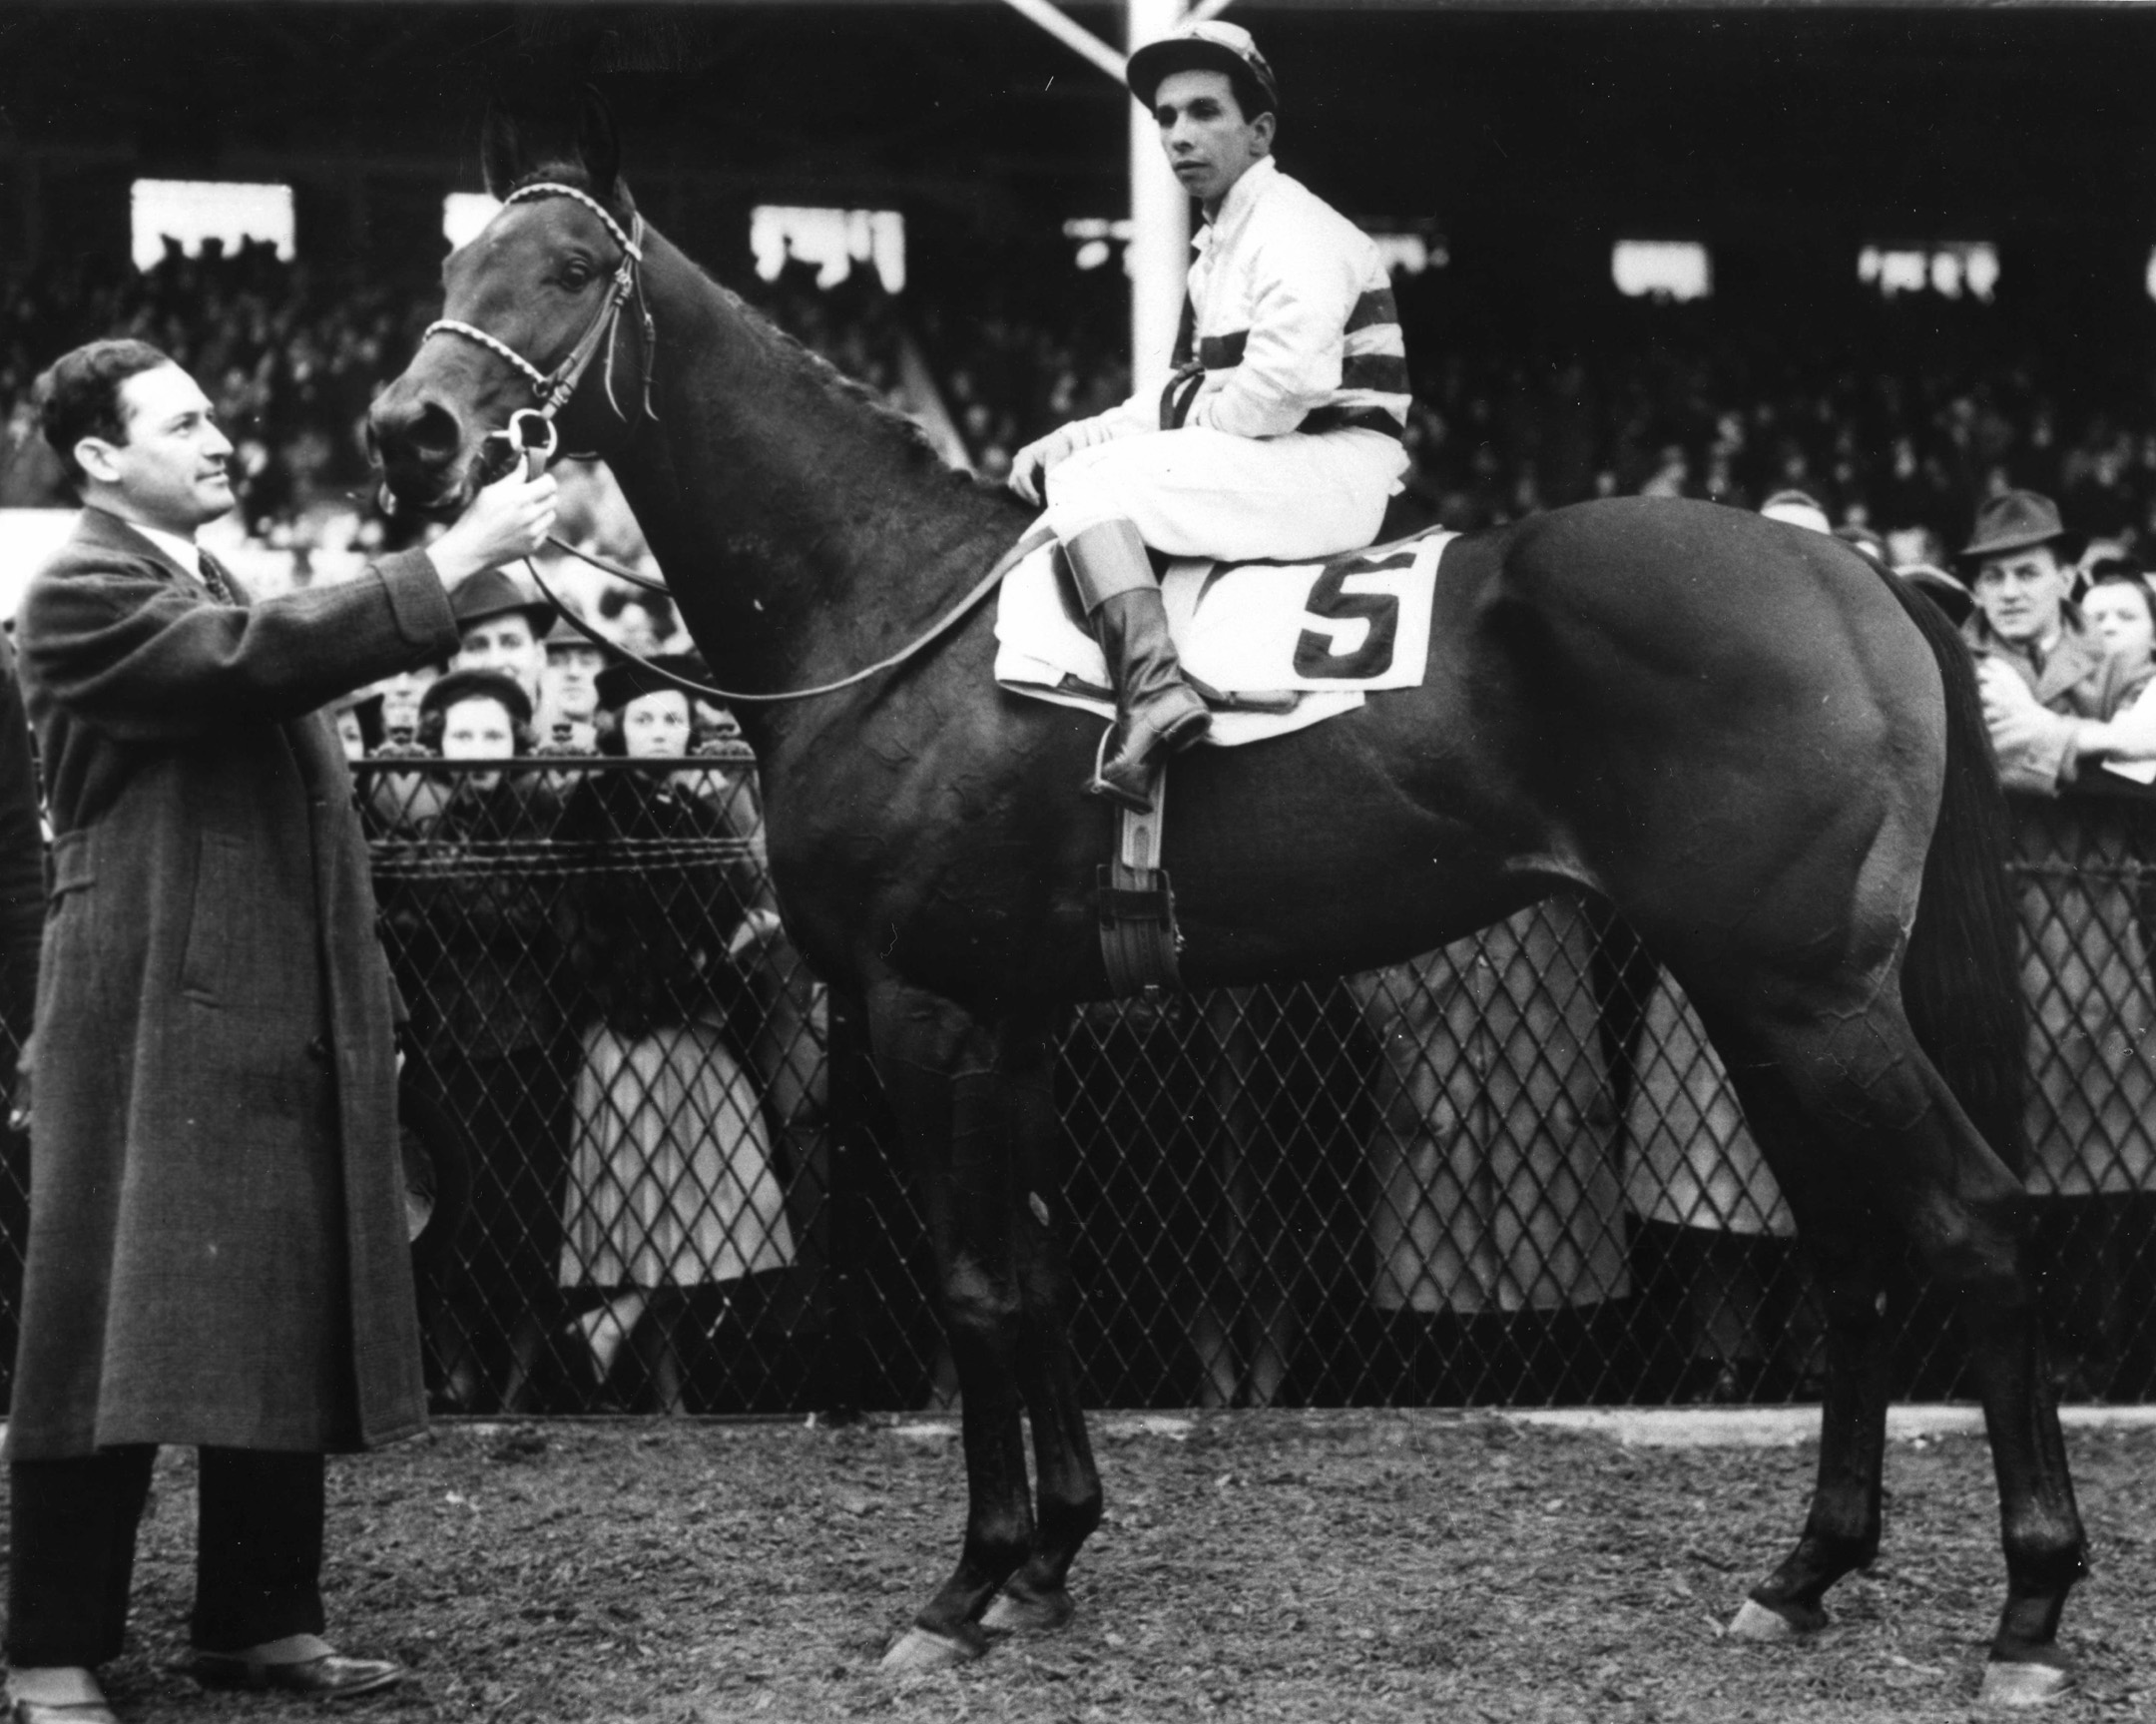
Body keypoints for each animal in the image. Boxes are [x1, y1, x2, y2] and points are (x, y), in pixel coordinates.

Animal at [370, 97, 2086, 1706]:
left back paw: (2030, 1602)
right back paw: (1804, 1571)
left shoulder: (920, 1005)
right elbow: (1039, 1267)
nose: (409, 433)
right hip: (1753, 991)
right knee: (1854, 1247)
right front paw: (1050, 1552)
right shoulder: (1016, 1011)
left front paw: (966, 1581)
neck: (889, 606)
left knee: (1977, 1217)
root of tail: (1855, 572)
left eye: (570, 269)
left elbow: (974, 1281)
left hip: (1810, 992)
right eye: (448, 265)